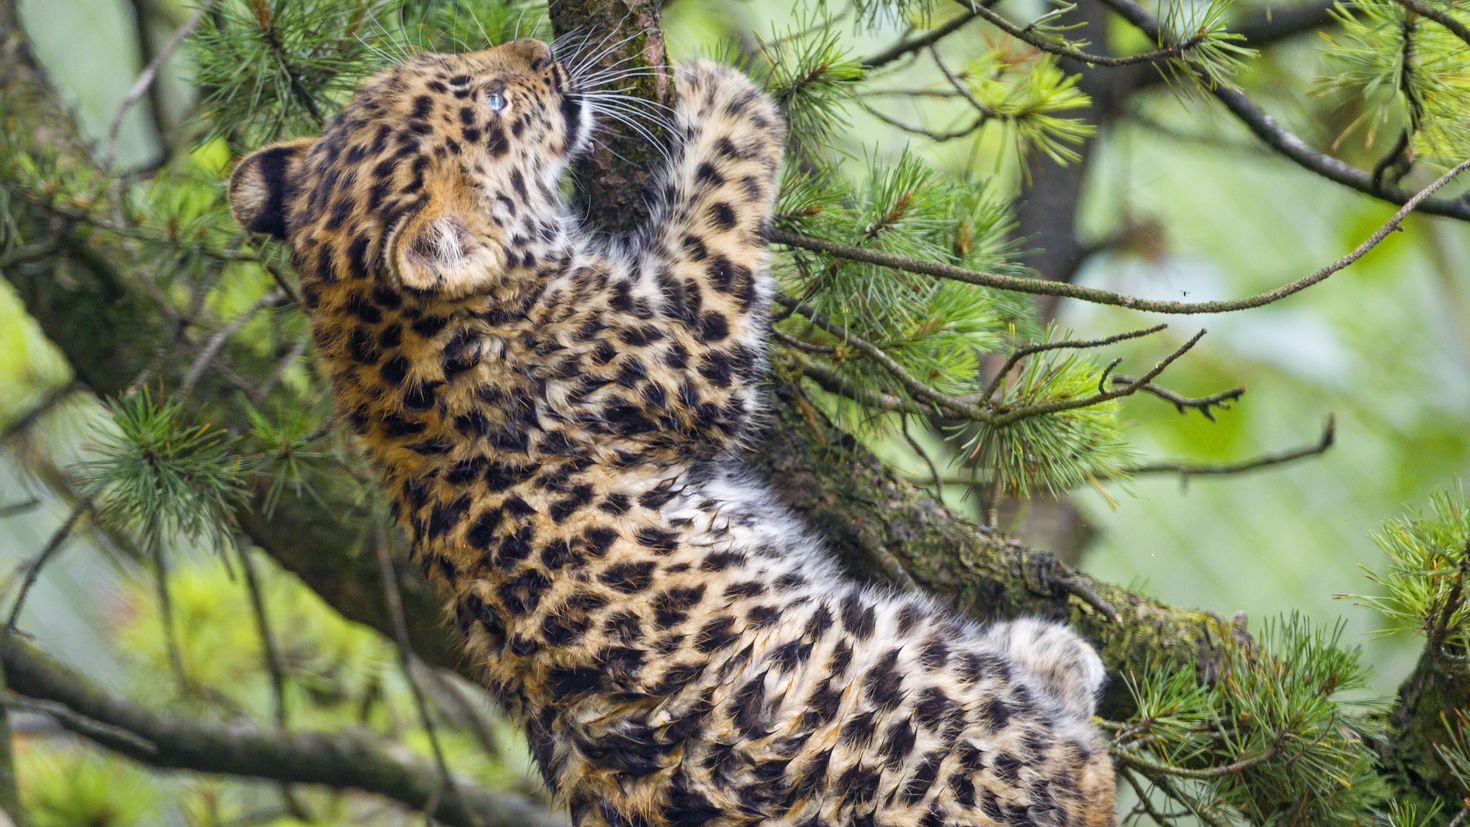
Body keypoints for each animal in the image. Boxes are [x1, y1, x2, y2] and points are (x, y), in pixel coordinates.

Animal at [226, 35, 1111, 822]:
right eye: (495, 101)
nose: (539, 51)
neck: (376, 345)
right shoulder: (687, 346)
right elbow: (717, 207)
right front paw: (725, 93)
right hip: (889, 647)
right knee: (1073, 769)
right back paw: (1057, 660)